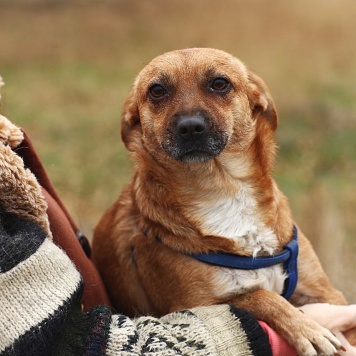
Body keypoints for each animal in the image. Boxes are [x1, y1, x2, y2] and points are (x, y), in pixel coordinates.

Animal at [92, 48, 350, 356]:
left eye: (219, 83)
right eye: (157, 90)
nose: (190, 127)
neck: (222, 189)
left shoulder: (325, 292)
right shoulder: (193, 307)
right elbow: (260, 296)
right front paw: (307, 330)